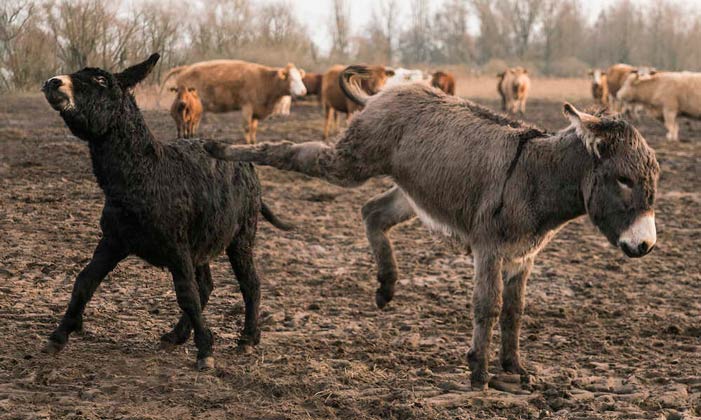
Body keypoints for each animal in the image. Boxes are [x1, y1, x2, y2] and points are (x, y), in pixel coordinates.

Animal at [165, 59, 308, 144]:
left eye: (301, 78)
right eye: (292, 79)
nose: (303, 91)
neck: (264, 80)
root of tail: (186, 68)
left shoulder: (255, 110)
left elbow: (253, 128)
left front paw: (253, 142)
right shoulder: (247, 106)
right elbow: (247, 127)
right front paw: (247, 143)